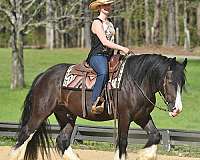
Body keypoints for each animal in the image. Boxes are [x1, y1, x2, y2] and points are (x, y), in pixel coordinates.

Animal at [10, 54, 187, 160]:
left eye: (183, 82)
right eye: (170, 81)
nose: (177, 109)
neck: (135, 82)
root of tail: (44, 75)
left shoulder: (142, 116)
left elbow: (155, 135)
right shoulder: (125, 117)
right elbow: (122, 142)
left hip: (66, 115)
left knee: (63, 139)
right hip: (40, 112)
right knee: (25, 135)